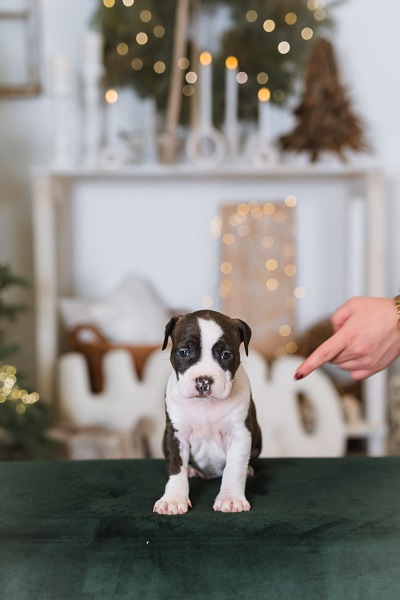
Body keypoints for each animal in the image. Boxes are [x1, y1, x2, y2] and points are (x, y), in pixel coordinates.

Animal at [152, 310, 260, 516]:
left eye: (226, 355)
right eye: (184, 352)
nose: (203, 382)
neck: (205, 407)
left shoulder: (240, 435)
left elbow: (234, 468)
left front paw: (231, 499)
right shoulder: (175, 435)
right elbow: (176, 467)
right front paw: (173, 499)